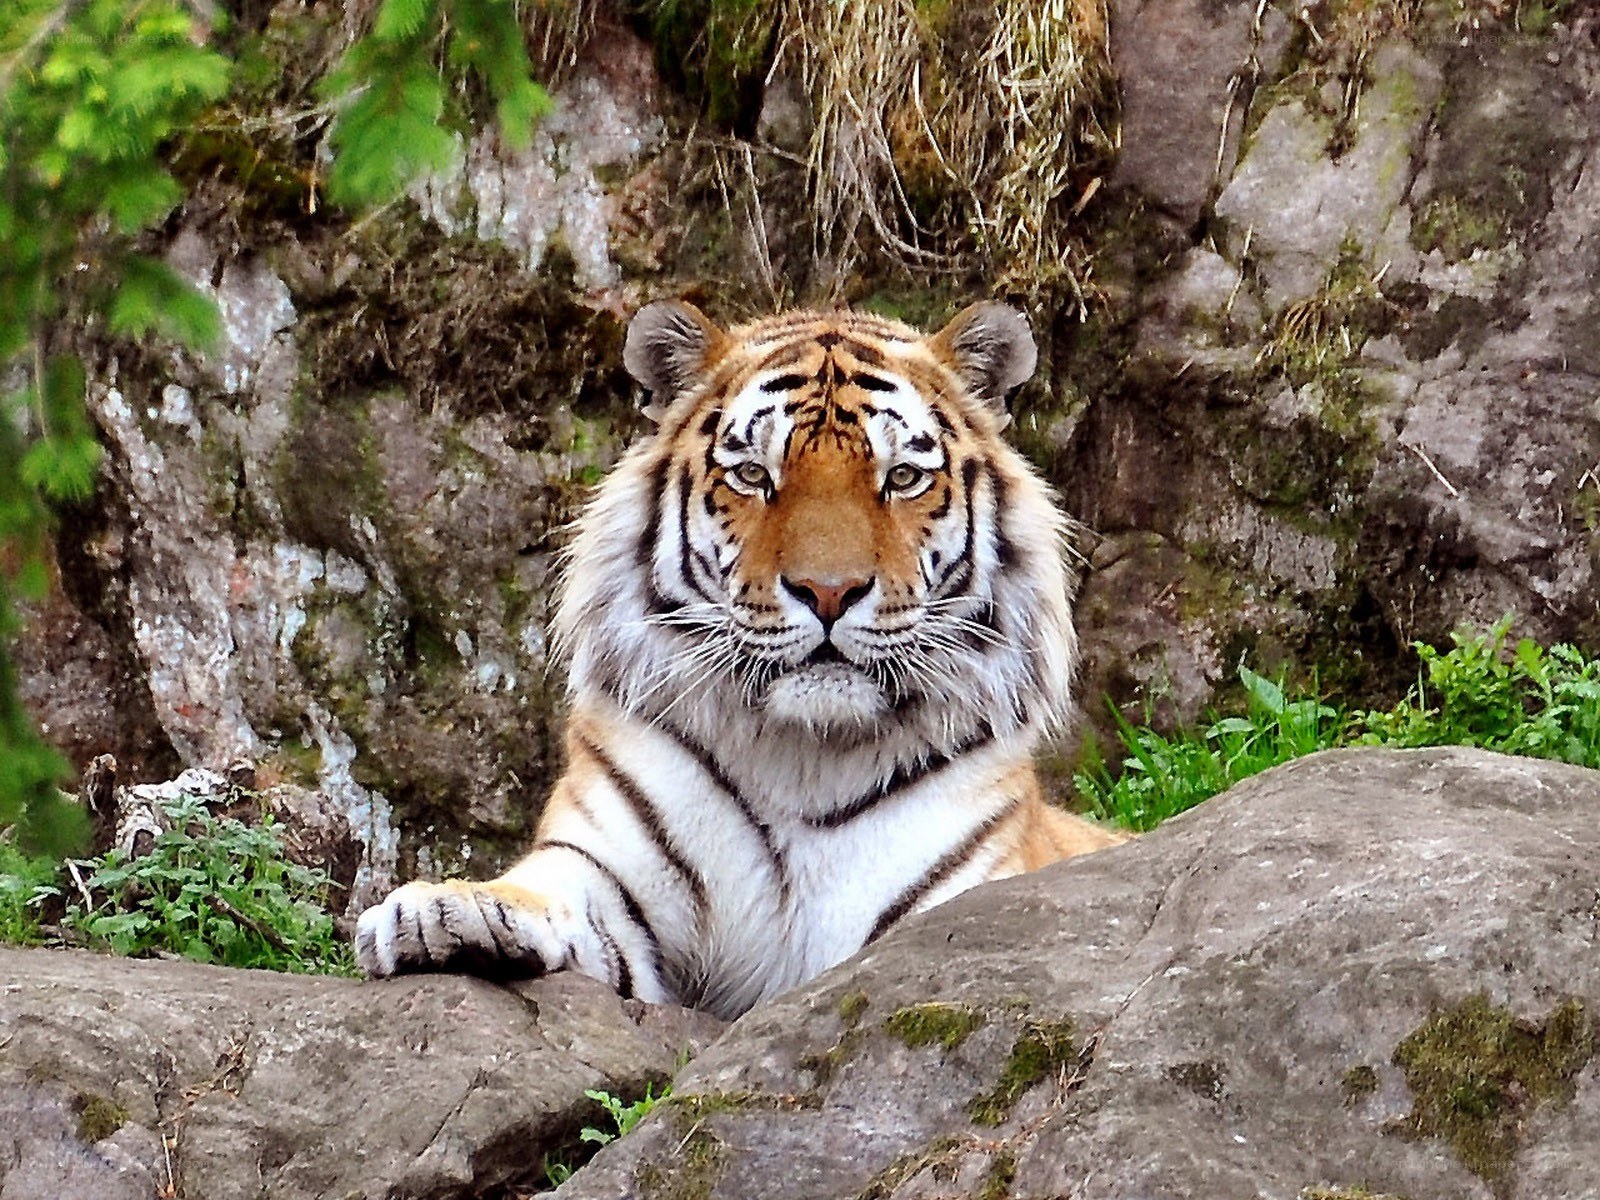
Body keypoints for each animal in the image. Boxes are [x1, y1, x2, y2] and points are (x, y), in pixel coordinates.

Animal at [354, 299, 1126, 1019]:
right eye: (755, 474)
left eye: (902, 477)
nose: (828, 591)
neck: (805, 760)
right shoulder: (609, 870)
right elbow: (549, 883)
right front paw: (445, 911)